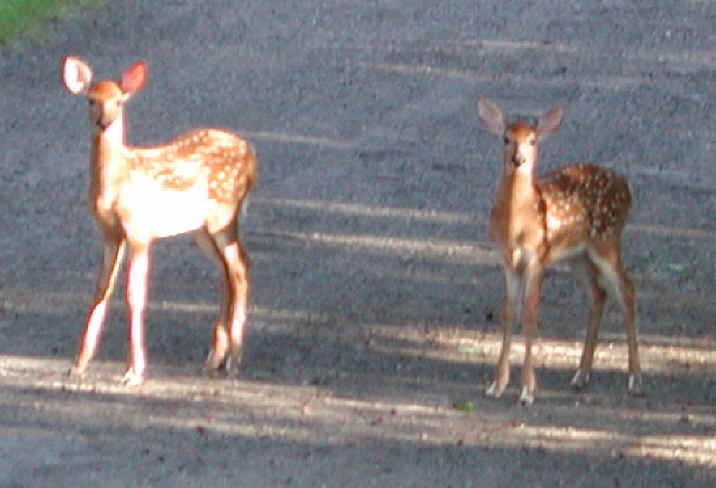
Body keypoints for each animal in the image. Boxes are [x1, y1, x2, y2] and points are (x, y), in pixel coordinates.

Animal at [62, 56, 257, 386]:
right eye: (91, 100)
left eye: (119, 101)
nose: (105, 122)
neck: (114, 183)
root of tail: (252, 157)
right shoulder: (109, 232)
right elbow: (101, 289)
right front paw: (79, 364)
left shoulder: (139, 230)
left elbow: (134, 295)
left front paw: (134, 371)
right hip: (202, 228)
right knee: (226, 270)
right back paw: (215, 358)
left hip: (224, 214)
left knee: (240, 268)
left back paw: (234, 360)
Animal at [476, 98, 642, 405]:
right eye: (506, 138)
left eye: (532, 140)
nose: (518, 159)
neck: (516, 225)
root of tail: (628, 187)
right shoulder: (507, 260)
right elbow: (509, 313)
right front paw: (497, 385)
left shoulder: (537, 256)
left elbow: (530, 314)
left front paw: (528, 390)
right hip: (578, 256)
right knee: (598, 294)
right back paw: (581, 374)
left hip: (606, 240)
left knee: (626, 289)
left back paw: (635, 379)